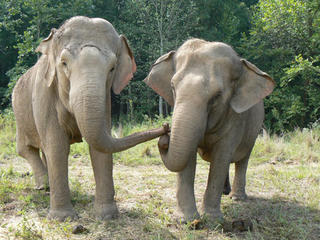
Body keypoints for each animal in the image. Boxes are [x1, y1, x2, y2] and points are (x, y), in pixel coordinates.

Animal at [12, 15, 168, 220]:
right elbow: (57, 146)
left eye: (112, 68)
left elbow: (100, 146)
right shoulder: (44, 93)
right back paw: (43, 187)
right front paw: (63, 218)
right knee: (26, 149)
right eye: (64, 63)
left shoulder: (105, 99)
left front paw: (107, 216)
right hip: (20, 116)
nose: (166, 126)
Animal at [144, 38, 276, 223]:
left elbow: (221, 157)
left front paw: (212, 219)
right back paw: (225, 192)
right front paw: (186, 220)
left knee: (243, 159)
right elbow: (188, 158)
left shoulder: (235, 119)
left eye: (217, 96)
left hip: (254, 129)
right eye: (172, 87)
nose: (165, 132)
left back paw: (236, 197)